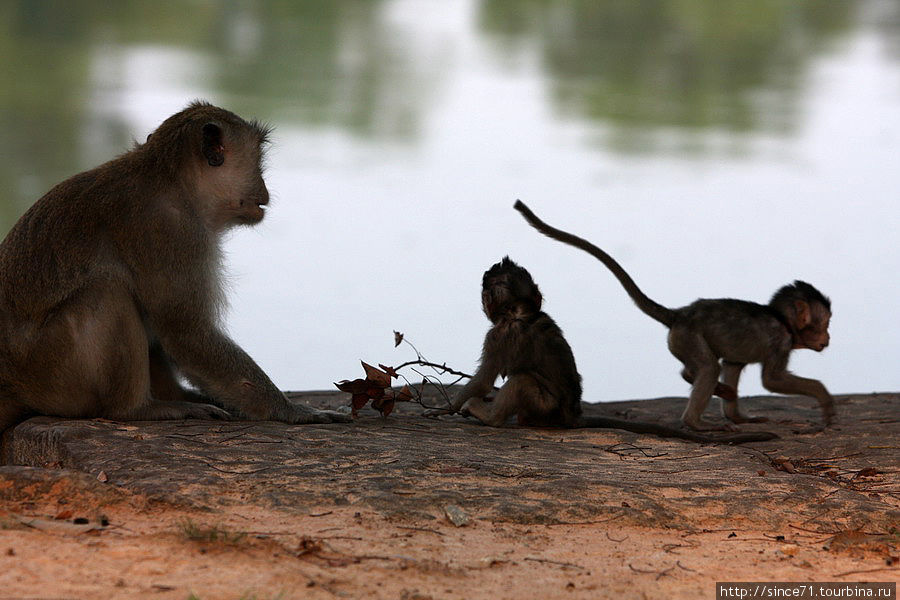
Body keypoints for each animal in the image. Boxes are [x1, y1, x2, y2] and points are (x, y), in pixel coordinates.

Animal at [0, 102, 348, 432]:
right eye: (258, 161)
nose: (264, 191)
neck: (174, 183)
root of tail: (11, 384)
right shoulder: (173, 231)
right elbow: (186, 332)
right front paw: (290, 410)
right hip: (52, 374)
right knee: (108, 290)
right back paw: (137, 409)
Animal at [446, 255, 776, 442]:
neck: (521, 313)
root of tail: (573, 417)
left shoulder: (498, 335)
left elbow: (483, 380)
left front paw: (446, 409)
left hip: (546, 409)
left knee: (523, 381)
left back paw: (490, 417)